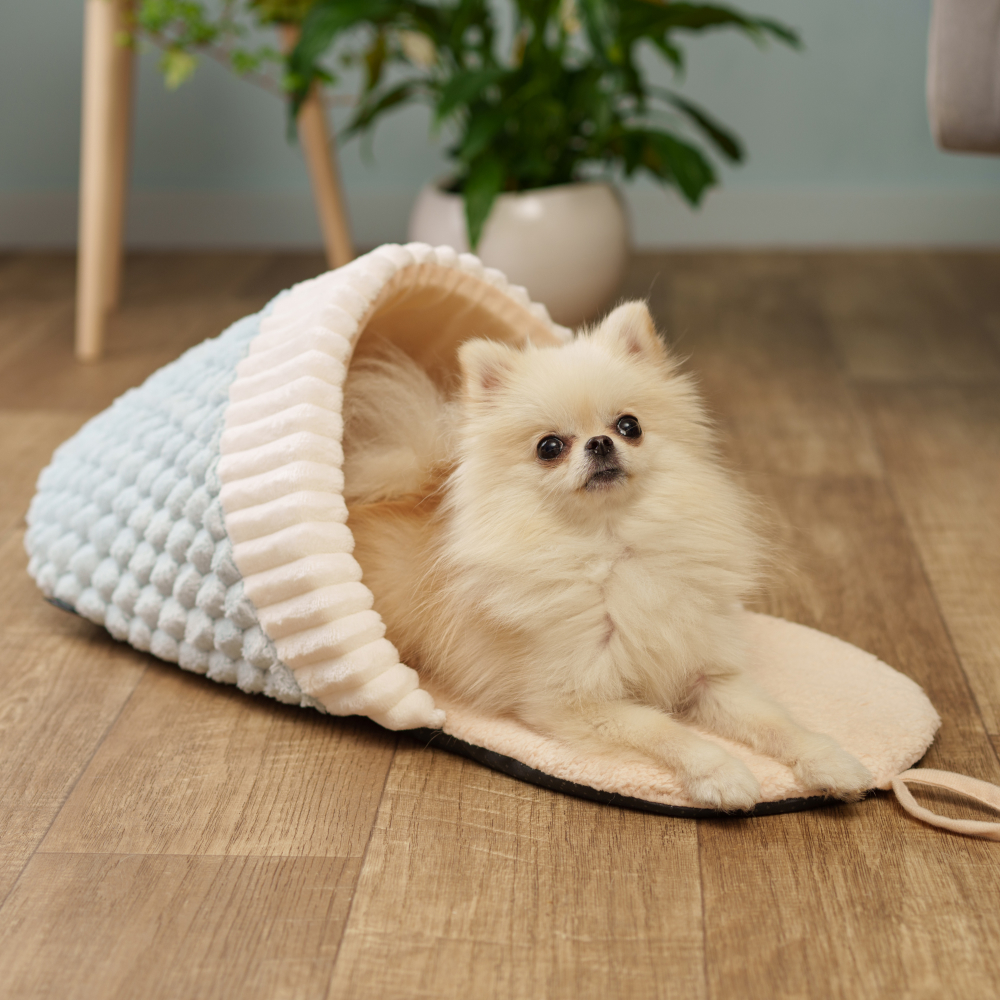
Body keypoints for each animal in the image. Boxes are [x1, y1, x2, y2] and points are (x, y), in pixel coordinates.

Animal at [342, 301, 874, 809]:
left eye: (629, 425)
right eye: (549, 446)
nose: (600, 442)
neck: (615, 546)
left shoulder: (708, 675)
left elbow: (777, 723)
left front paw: (829, 759)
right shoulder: (575, 702)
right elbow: (665, 729)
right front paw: (721, 773)